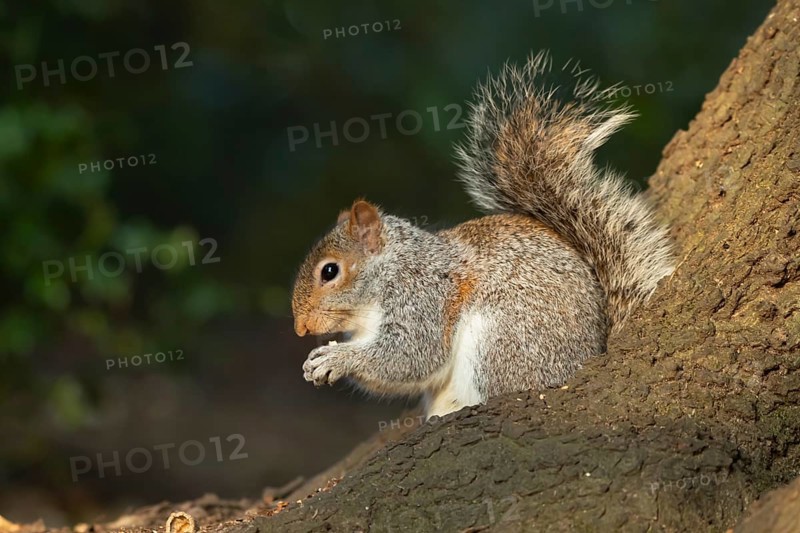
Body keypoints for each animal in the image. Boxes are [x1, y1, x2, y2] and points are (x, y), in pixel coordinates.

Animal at [291, 52, 674, 418]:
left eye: (330, 271)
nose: (300, 329)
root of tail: (591, 352)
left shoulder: (423, 296)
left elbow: (411, 356)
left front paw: (336, 358)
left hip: (502, 341)